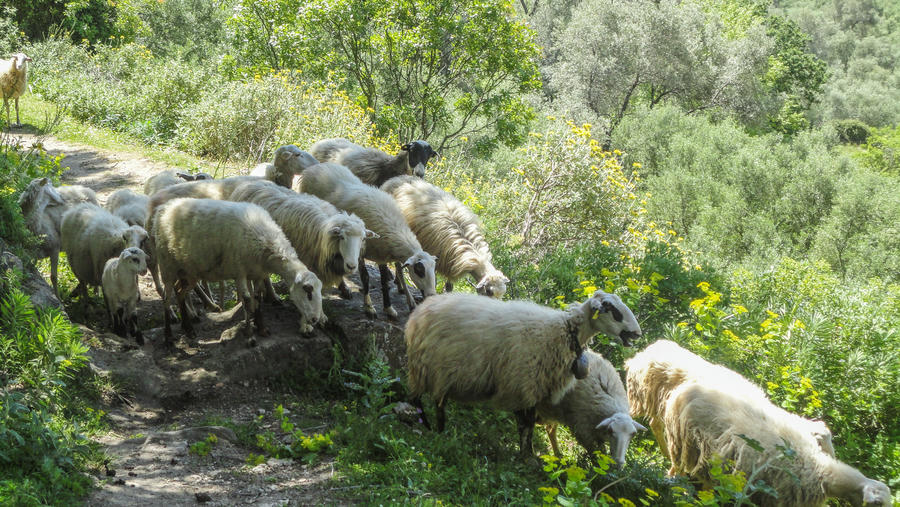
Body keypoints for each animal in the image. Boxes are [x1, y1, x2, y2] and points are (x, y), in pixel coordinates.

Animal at [150, 197, 324, 345]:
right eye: (308, 291)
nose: (315, 319)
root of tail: (163, 208)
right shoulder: (240, 272)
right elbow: (247, 300)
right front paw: (250, 335)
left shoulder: (257, 274)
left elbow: (257, 298)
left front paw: (261, 328)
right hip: (167, 265)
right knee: (166, 297)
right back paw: (168, 336)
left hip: (189, 271)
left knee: (180, 292)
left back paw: (188, 329)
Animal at [229, 179, 374, 296]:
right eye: (342, 237)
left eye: (363, 239)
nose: (352, 266)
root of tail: (245, 185)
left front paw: (344, 288)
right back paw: (272, 295)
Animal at [299, 162, 437, 319]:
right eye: (420, 270)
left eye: (434, 269)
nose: (432, 295)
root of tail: (315, 167)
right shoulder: (360, 252)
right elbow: (365, 277)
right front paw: (369, 307)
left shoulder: (382, 255)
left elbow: (387, 280)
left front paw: (392, 307)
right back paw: (344, 288)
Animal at [405, 290, 642, 457]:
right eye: (612, 309)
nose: (637, 334)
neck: (564, 332)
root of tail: (419, 311)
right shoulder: (524, 385)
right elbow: (526, 426)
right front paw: (527, 457)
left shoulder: (537, 388)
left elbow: (529, 425)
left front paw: (528, 454)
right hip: (429, 367)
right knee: (418, 399)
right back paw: (426, 427)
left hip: (439, 371)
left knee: (438, 402)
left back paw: (439, 429)